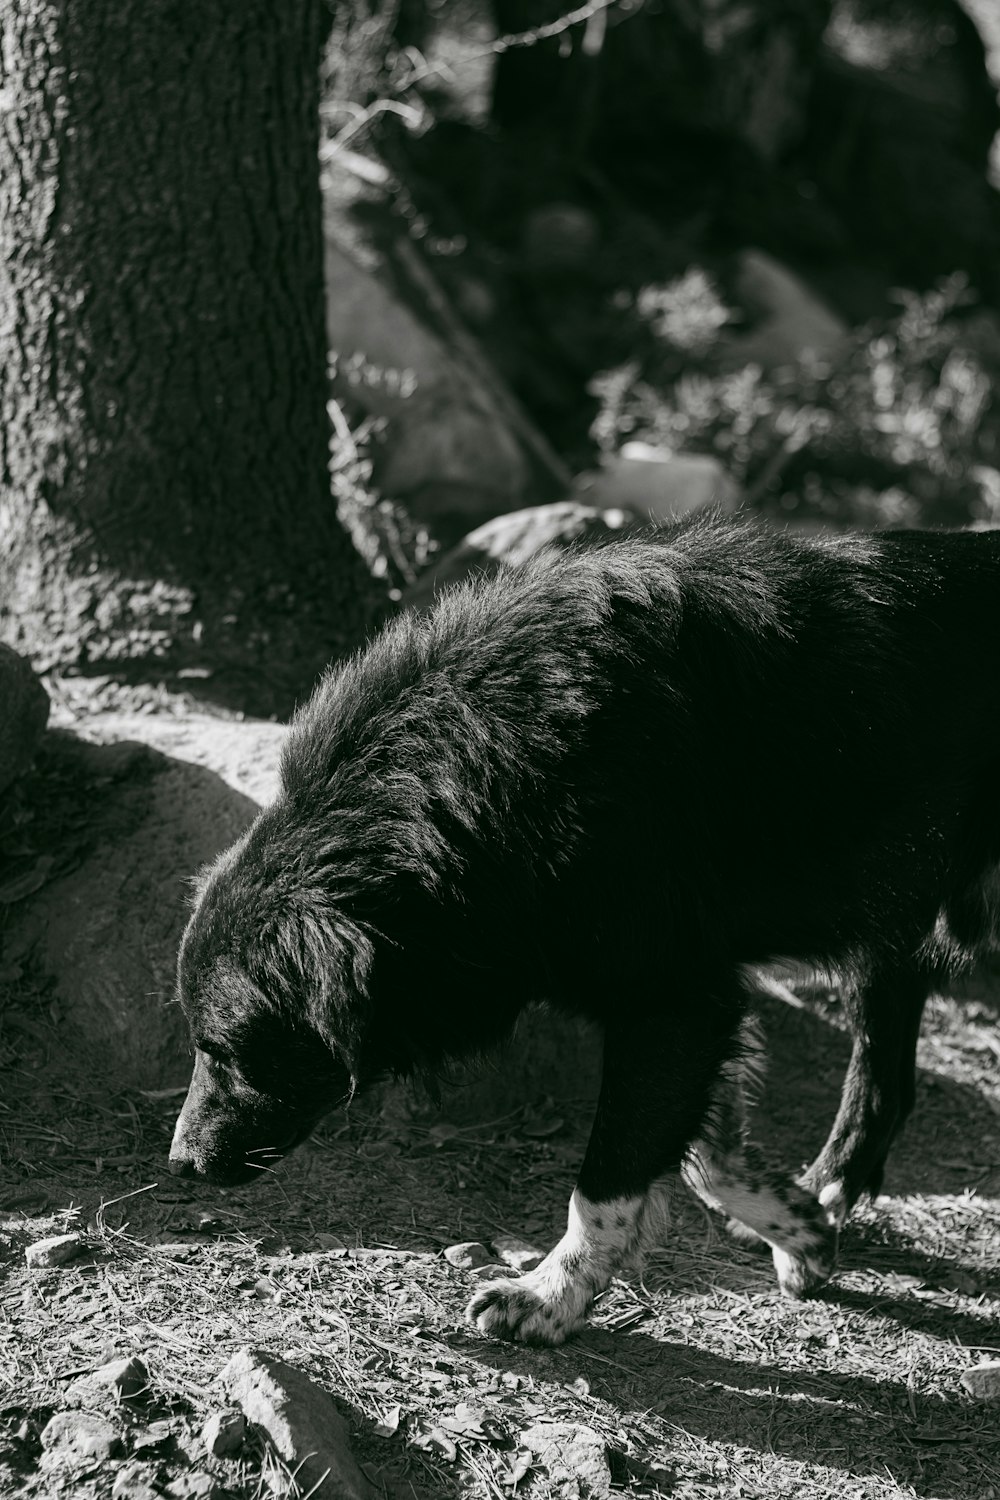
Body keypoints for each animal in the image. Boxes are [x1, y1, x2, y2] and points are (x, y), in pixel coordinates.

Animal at [167, 519, 1000, 1350]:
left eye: (226, 1051)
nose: (181, 1165)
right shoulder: (697, 990)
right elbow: (705, 1155)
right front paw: (797, 1227)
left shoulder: (669, 997)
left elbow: (610, 1178)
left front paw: (546, 1299)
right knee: (884, 1065)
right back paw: (830, 1187)